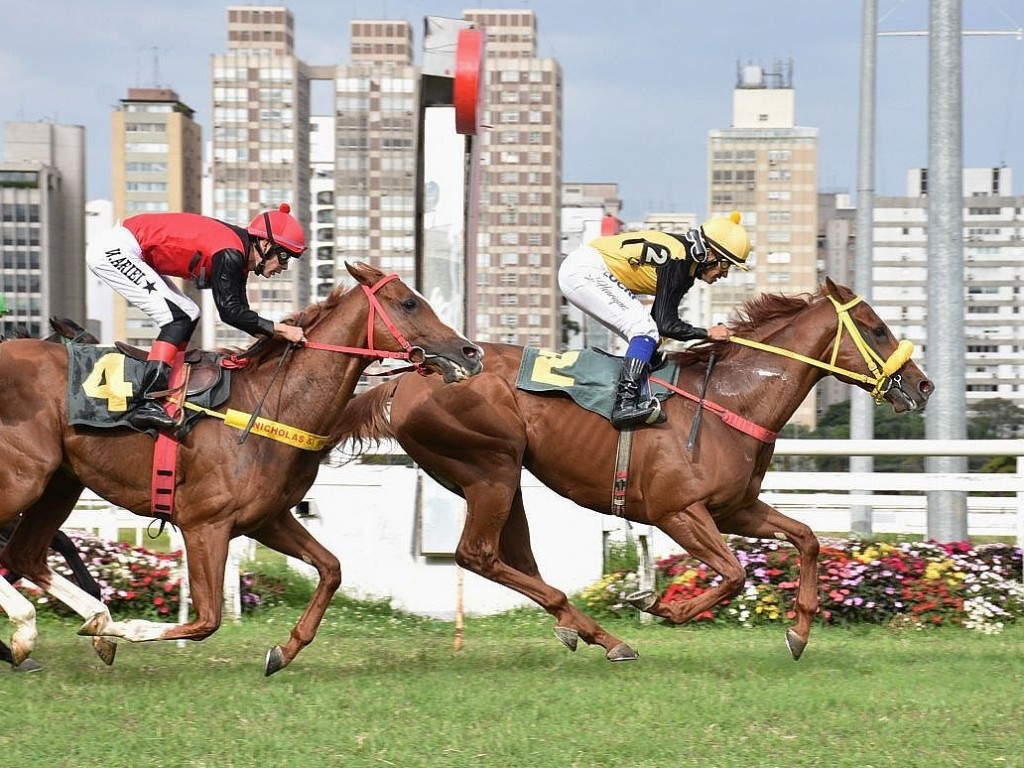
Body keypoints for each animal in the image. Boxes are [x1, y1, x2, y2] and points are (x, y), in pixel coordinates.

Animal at [0, 264, 483, 671]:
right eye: (409, 303)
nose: (471, 352)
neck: (268, 406)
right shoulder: (204, 525)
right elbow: (207, 620)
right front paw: (126, 626)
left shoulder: (267, 519)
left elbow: (331, 569)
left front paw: (283, 652)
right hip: (24, 479)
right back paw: (30, 627)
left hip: (59, 484)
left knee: (24, 555)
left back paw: (88, 624)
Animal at [337, 280, 937, 663]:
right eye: (875, 328)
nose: (924, 385)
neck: (728, 400)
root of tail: (406, 379)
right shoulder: (678, 512)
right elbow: (735, 573)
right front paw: (664, 607)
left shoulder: (736, 508)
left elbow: (808, 538)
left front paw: (800, 631)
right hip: (491, 467)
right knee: (478, 554)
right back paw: (603, 635)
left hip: (501, 476)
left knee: (513, 553)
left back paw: (576, 629)